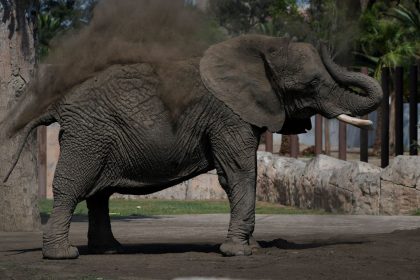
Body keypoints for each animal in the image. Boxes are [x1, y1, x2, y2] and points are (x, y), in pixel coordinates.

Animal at [2, 34, 384, 260]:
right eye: (312, 84)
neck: (260, 52)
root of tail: (58, 103)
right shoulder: (227, 115)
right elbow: (240, 172)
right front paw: (238, 253)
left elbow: (238, 174)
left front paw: (252, 247)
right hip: (89, 134)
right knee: (73, 185)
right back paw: (64, 255)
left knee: (98, 194)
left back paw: (110, 250)